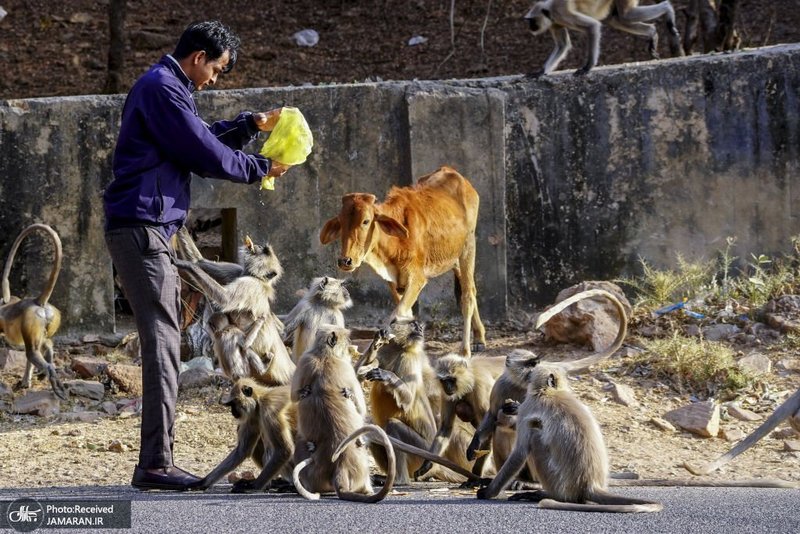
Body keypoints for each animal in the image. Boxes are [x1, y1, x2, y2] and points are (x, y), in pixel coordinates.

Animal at [0, 223, 67, 402]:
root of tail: (38, 301)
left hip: (32, 318)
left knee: (32, 352)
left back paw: (49, 372)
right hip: (49, 319)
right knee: (45, 344)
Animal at [320, 166, 488, 360]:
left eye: (366, 221)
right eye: (341, 222)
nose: (345, 260)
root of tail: (451, 171)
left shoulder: (417, 279)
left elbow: (397, 314)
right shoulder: (393, 282)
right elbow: (405, 315)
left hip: (468, 247)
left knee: (468, 295)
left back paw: (466, 349)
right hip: (456, 258)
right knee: (468, 290)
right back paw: (479, 337)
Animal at [524, 0, 680, 76]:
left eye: (532, 21)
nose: (530, 27)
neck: (549, 8)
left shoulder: (561, 13)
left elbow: (593, 26)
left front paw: (587, 67)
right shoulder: (555, 23)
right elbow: (563, 45)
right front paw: (541, 71)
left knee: (627, 14)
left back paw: (668, 9)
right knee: (618, 19)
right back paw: (652, 32)